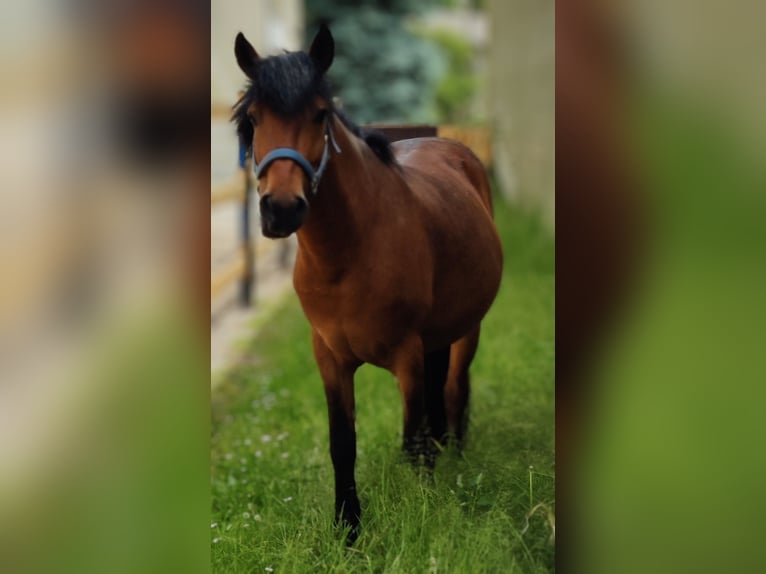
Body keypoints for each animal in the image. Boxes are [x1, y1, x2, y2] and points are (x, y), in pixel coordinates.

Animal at [233, 24, 503, 542]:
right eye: (254, 119)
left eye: (320, 114)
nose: (281, 209)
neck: (350, 255)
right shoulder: (329, 357)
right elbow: (343, 443)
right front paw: (349, 529)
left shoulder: (408, 355)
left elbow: (414, 438)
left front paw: (423, 510)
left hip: (468, 330)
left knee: (455, 387)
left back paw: (457, 456)